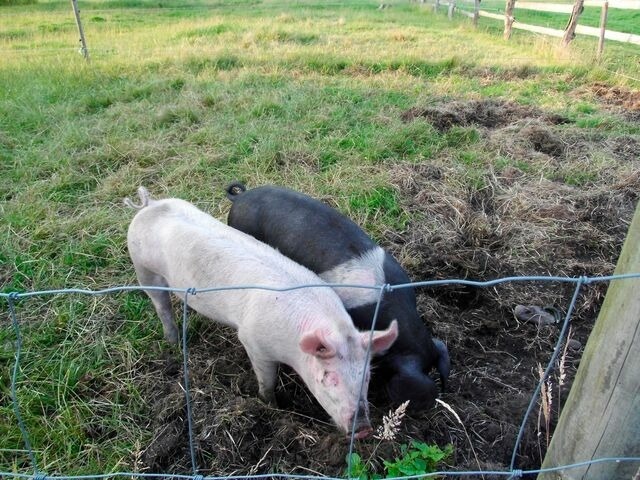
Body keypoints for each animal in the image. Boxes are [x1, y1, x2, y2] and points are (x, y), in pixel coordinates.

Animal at [122, 188, 398, 438]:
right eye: (328, 377)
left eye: (367, 375)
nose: (363, 429)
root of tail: (149, 205)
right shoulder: (253, 342)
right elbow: (267, 381)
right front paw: (271, 405)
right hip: (142, 268)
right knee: (161, 306)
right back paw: (174, 342)